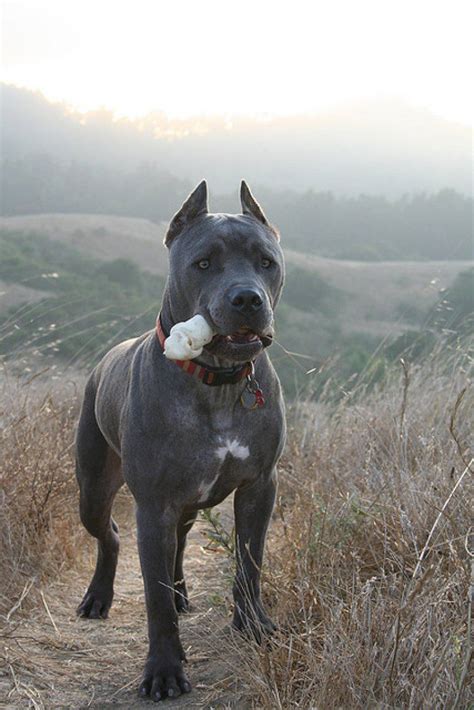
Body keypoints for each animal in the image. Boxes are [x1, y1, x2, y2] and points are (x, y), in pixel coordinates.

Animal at [75, 181, 286, 704]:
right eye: (204, 263)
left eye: (266, 261)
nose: (247, 298)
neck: (218, 381)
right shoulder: (154, 506)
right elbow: (155, 600)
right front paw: (164, 671)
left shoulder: (259, 487)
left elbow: (249, 563)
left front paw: (253, 624)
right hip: (93, 490)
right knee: (110, 535)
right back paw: (99, 597)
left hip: (187, 503)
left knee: (181, 543)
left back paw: (183, 590)